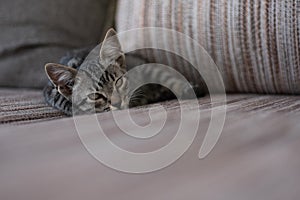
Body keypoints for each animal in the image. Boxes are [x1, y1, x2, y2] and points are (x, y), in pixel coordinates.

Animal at [44, 28, 204, 115]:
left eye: (118, 82)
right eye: (95, 96)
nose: (117, 103)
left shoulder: (144, 67)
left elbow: (166, 78)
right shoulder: (51, 93)